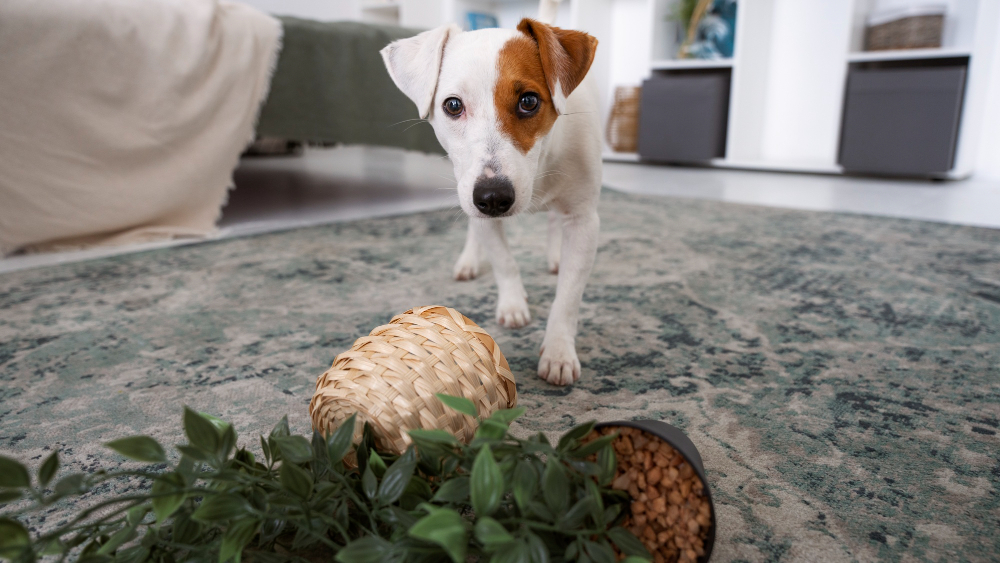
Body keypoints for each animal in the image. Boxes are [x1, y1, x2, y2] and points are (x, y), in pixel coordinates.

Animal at [380, 0, 600, 388]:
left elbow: (568, 297)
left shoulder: (585, 220)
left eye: (529, 101)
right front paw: (513, 305)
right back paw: (469, 261)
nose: (494, 197)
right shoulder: (475, 200)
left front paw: (559, 351)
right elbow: (504, 261)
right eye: (452, 105)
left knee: (554, 223)